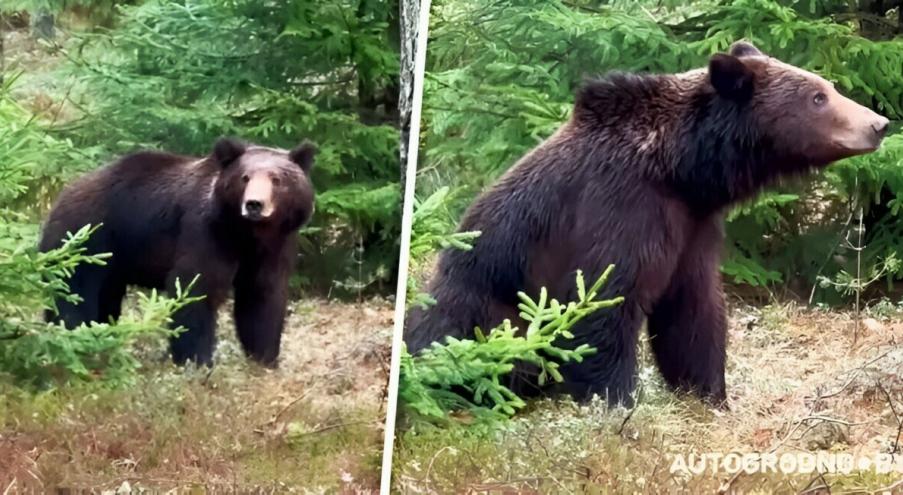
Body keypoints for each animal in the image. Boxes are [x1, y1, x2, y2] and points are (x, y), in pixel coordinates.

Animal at [39, 138, 318, 366]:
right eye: (245, 177)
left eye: (277, 179)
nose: (254, 204)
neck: (246, 234)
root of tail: (61, 195)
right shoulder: (206, 234)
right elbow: (195, 289)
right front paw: (197, 360)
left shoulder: (273, 248)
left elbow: (262, 296)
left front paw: (265, 356)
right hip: (87, 237)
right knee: (73, 291)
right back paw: (70, 335)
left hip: (113, 260)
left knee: (105, 298)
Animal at [408, 41, 888, 406]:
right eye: (817, 97)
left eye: (827, 87)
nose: (879, 123)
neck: (681, 170)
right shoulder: (622, 209)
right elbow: (603, 302)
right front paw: (616, 400)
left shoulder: (693, 228)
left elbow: (692, 312)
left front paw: (708, 394)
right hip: (486, 309)